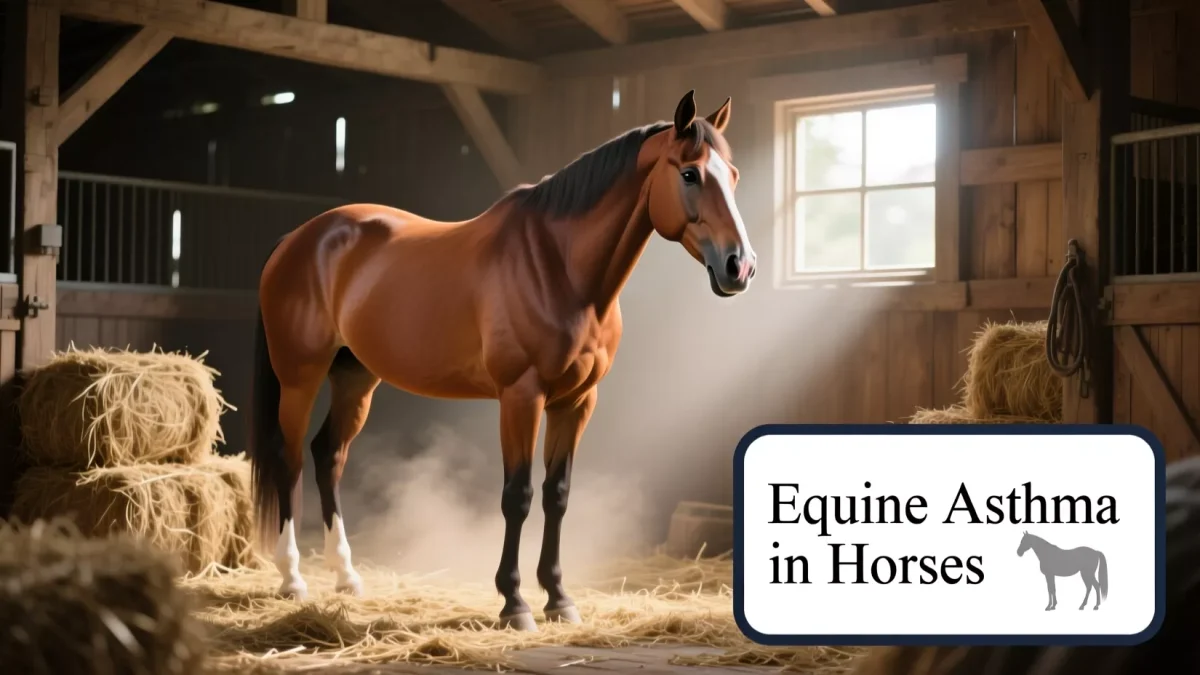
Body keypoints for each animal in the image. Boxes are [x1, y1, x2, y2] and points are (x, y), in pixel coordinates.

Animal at [248, 90, 756, 631]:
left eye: (733, 175)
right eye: (690, 174)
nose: (740, 266)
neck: (559, 267)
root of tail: (300, 238)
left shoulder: (577, 402)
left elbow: (557, 495)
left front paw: (558, 598)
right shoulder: (520, 397)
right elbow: (519, 496)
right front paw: (514, 603)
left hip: (356, 377)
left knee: (329, 456)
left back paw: (346, 578)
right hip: (299, 378)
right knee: (290, 458)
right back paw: (292, 579)